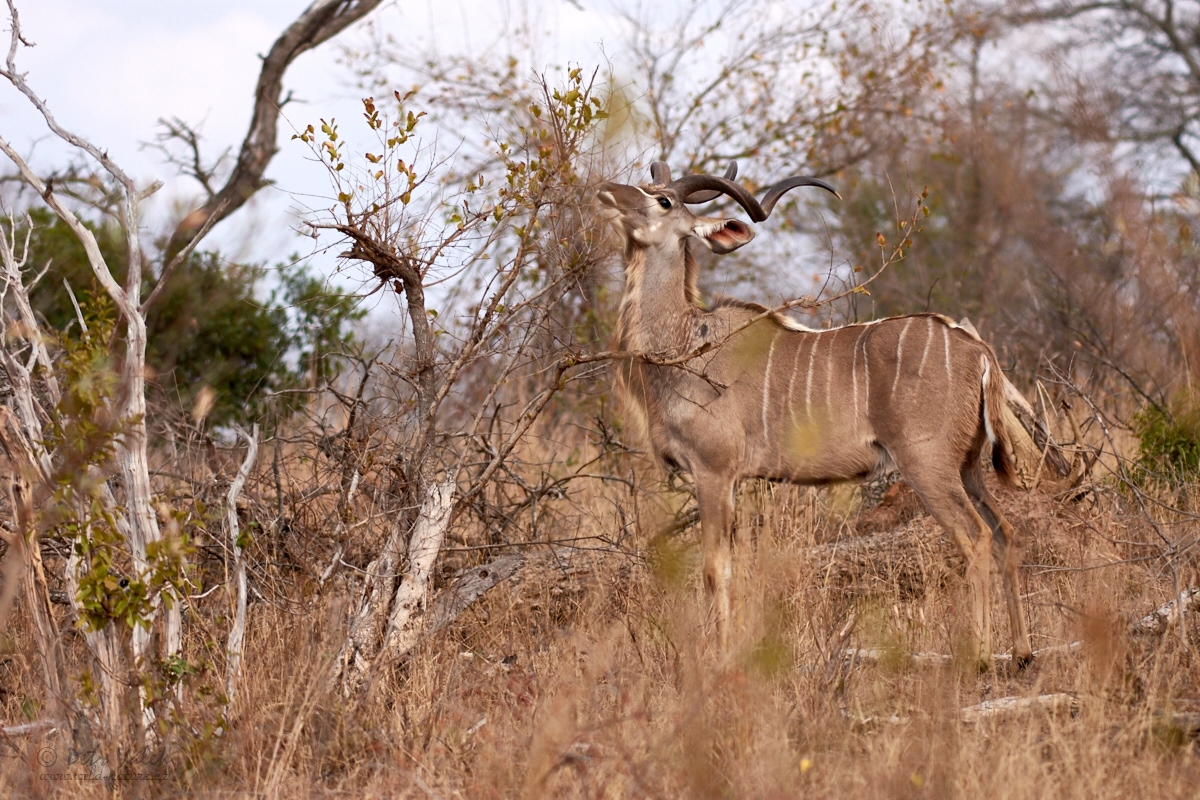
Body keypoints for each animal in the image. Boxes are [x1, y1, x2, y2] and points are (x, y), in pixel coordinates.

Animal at [600, 160, 1032, 671]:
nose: (605, 191)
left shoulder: (714, 470)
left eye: (663, 200)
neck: (685, 341)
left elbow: (713, 569)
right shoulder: (732, 480)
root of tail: (978, 350)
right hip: (966, 468)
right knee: (1005, 532)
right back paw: (1022, 651)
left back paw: (981, 656)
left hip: (928, 467)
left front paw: (719, 661)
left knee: (976, 537)